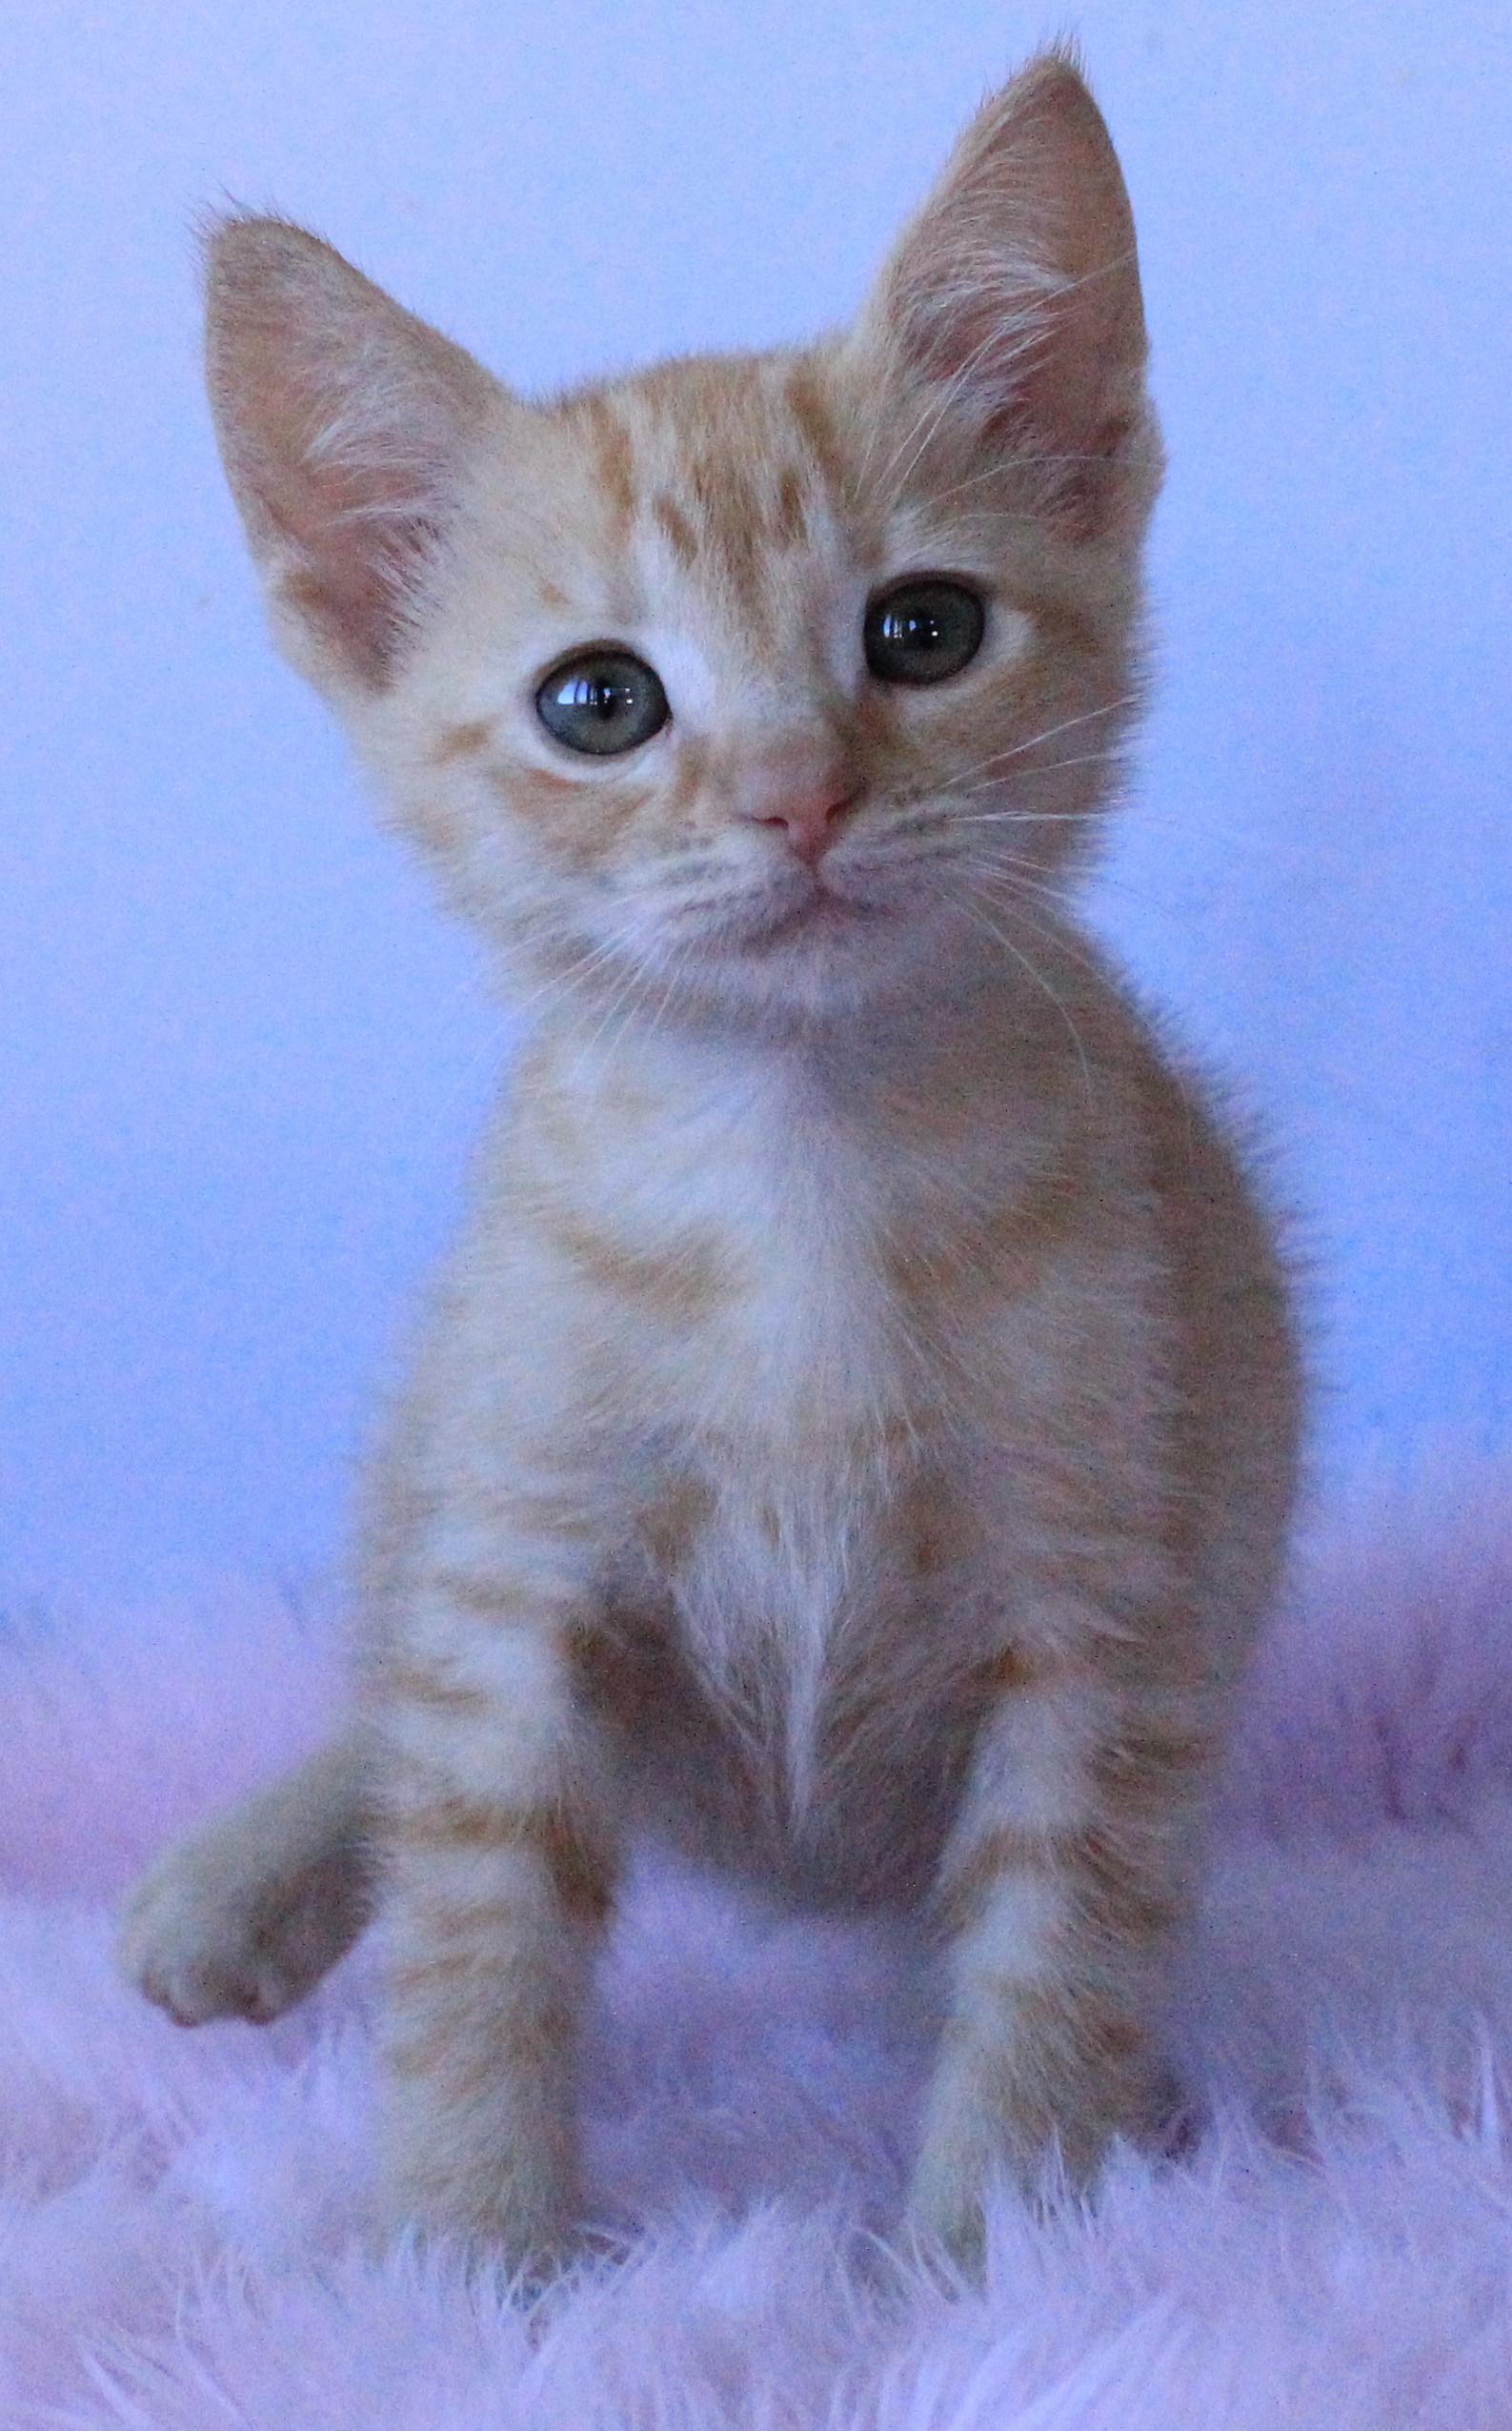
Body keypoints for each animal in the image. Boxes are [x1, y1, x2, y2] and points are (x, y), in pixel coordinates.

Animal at [118, 51, 1301, 2269]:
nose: (795, 796)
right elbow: (472, 1909)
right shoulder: (522, 1578)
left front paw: (1010, 2253)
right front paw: (463, 2253)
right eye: (600, 701)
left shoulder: (1100, 1601)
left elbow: (1060, 1940)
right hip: (441, 1436)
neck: (797, 1166)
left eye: (921, 630)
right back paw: (243, 1882)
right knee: (392, 1699)